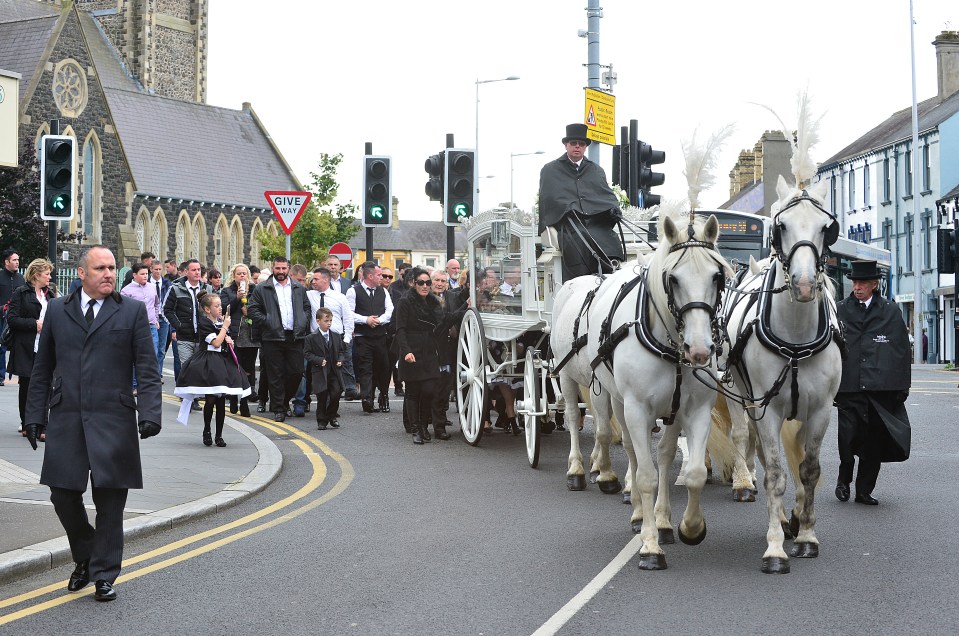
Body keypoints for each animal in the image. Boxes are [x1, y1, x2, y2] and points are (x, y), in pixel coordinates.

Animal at [584, 214, 728, 572]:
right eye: (672, 278)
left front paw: (690, 526)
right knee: (635, 457)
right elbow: (646, 475)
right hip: (619, 402)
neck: (672, 347)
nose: (700, 350)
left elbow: (694, 473)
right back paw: (640, 514)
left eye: (717, 276)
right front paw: (649, 546)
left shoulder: (696, 410)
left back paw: (662, 521)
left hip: (672, 412)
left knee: (663, 454)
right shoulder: (637, 410)